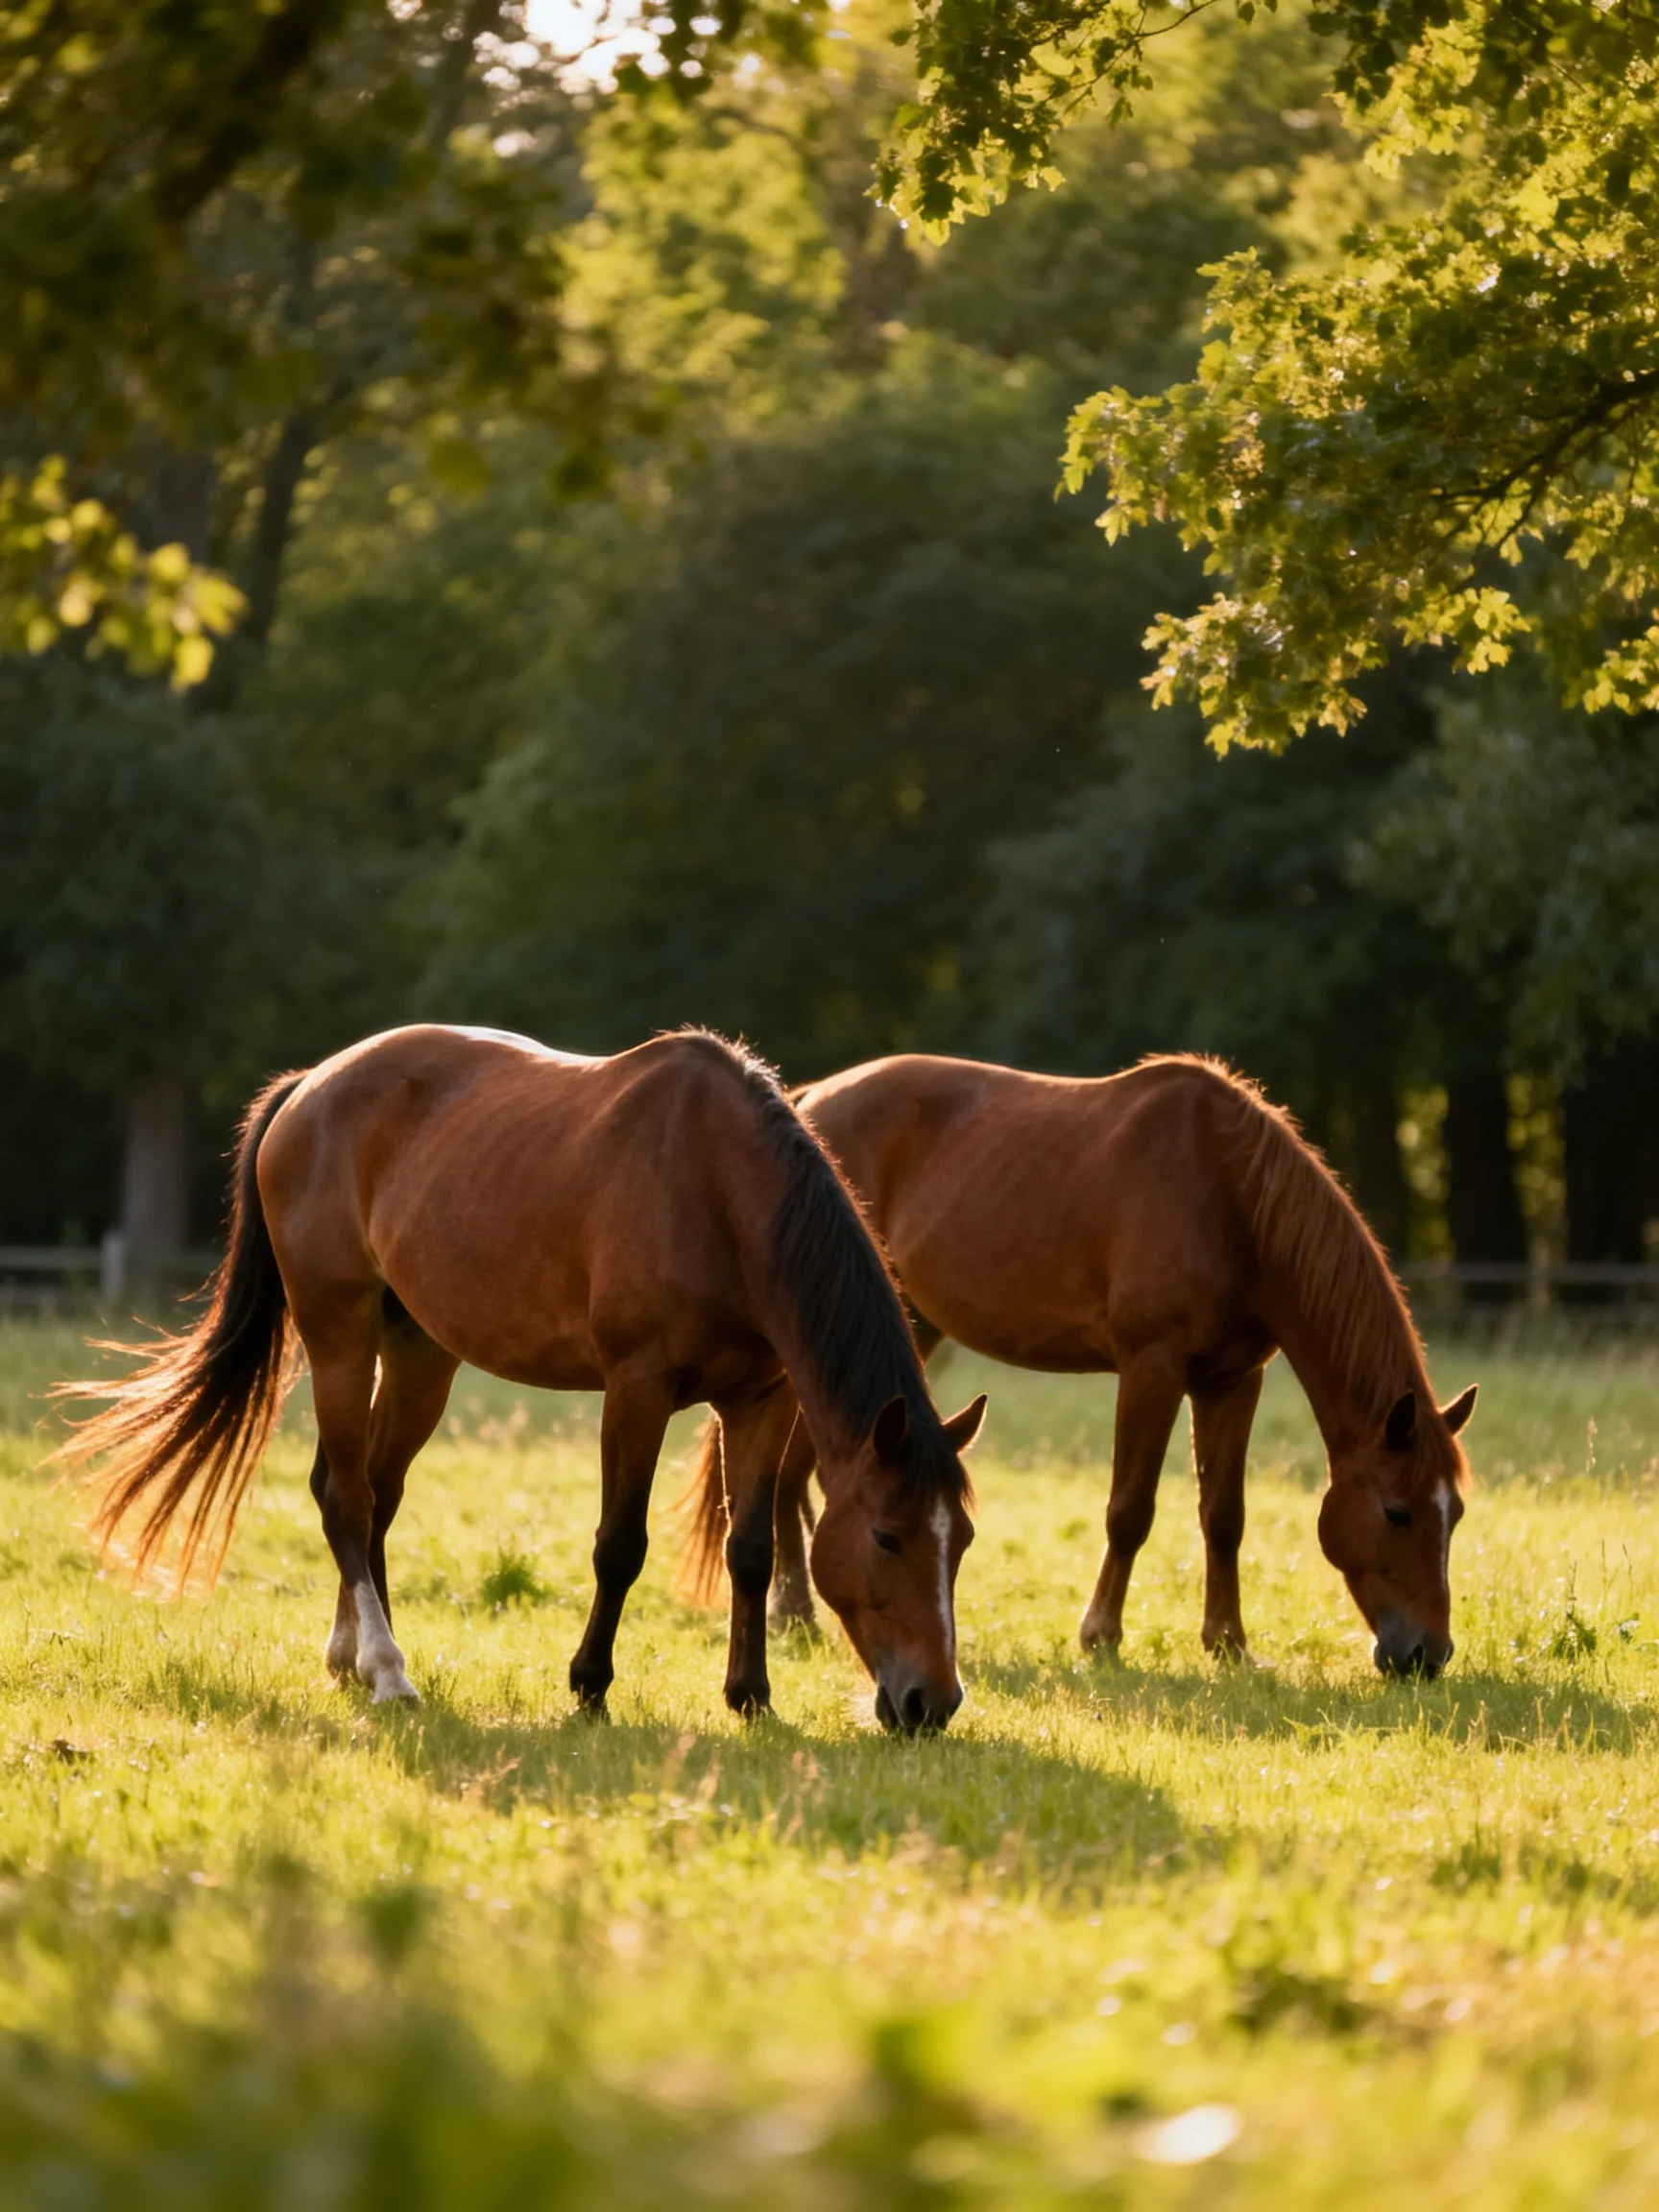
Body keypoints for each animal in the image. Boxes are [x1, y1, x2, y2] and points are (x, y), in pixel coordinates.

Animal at [56, 1025, 986, 1731]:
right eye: (888, 1537)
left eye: (963, 1542)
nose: (931, 1703)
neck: (720, 1193)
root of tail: (309, 1088)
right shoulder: (637, 1389)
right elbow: (621, 1545)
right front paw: (589, 1686)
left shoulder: (761, 1401)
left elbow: (750, 1550)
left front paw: (750, 1697)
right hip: (338, 1334)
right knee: (347, 1499)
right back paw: (388, 1669)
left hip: (422, 1355)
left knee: (370, 1492)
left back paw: (352, 1657)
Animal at [685, 1052, 1475, 1679]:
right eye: (1398, 1512)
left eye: (1457, 1515)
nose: (1426, 1655)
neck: (1228, 1194)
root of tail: (810, 1099)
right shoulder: (1152, 1367)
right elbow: (1130, 1510)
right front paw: (1100, 1636)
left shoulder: (1232, 1380)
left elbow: (1224, 1515)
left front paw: (1228, 1644)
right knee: (791, 1476)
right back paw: (795, 1614)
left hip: (903, 1332)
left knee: (804, 1473)